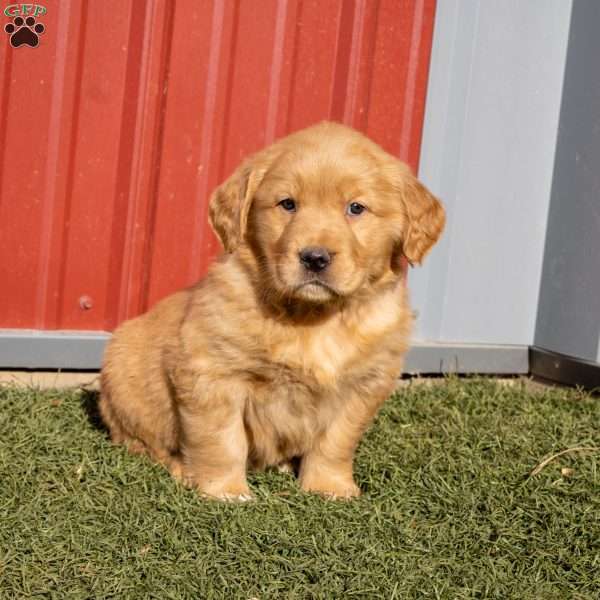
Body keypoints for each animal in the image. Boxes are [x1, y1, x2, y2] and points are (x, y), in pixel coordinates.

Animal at [99, 119, 446, 500]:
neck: (315, 317)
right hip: (123, 385)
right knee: (140, 442)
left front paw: (329, 488)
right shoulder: (212, 372)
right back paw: (179, 468)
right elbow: (221, 440)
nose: (314, 257)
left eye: (356, 208)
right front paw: (224, 491)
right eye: (288, 204)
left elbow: (336, 441)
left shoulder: (366, 383)